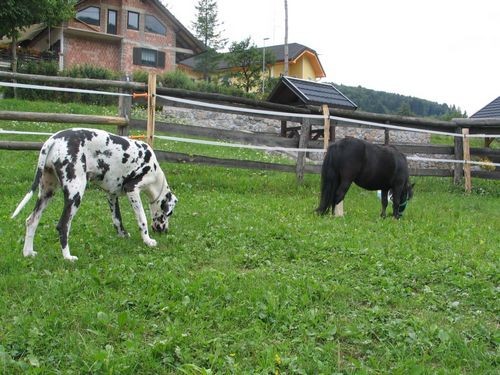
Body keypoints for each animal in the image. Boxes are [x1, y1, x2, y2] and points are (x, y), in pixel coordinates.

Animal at [10, 129, 180, 262]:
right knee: (63, 226)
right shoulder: (133, 190)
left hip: (47, 193)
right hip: (75, 194)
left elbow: (117, 220)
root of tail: (54, 140)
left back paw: (28, 252)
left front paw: (122, 235)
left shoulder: (112, 195)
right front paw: (148, 241)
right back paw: (67, 257)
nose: (165, 231)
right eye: (169, 213)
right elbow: (142, 220)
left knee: (31, 221)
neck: (155, 173)